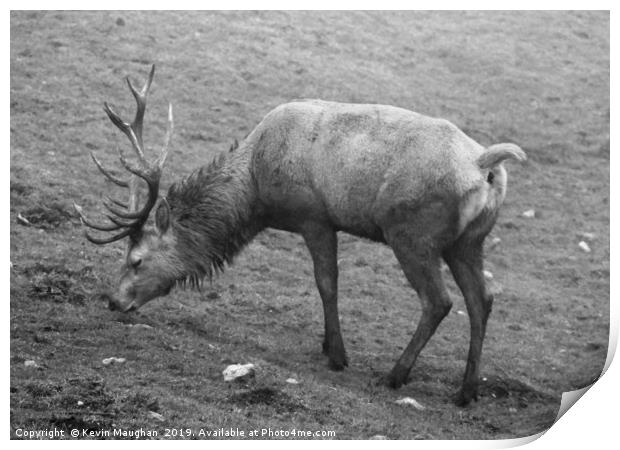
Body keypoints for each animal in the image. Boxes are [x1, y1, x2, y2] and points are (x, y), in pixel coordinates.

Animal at [75, 65, 524, 406]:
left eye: (136, 259)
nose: (112, 300)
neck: (256, 192)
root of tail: (485, 165)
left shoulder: (315, 217)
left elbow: (327, 283)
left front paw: (337, 355)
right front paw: (328, 345)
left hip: (412, 235)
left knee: (439, 301)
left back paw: (395, 375)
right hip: (467, 242)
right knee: (481, 299)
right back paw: (466, 391)